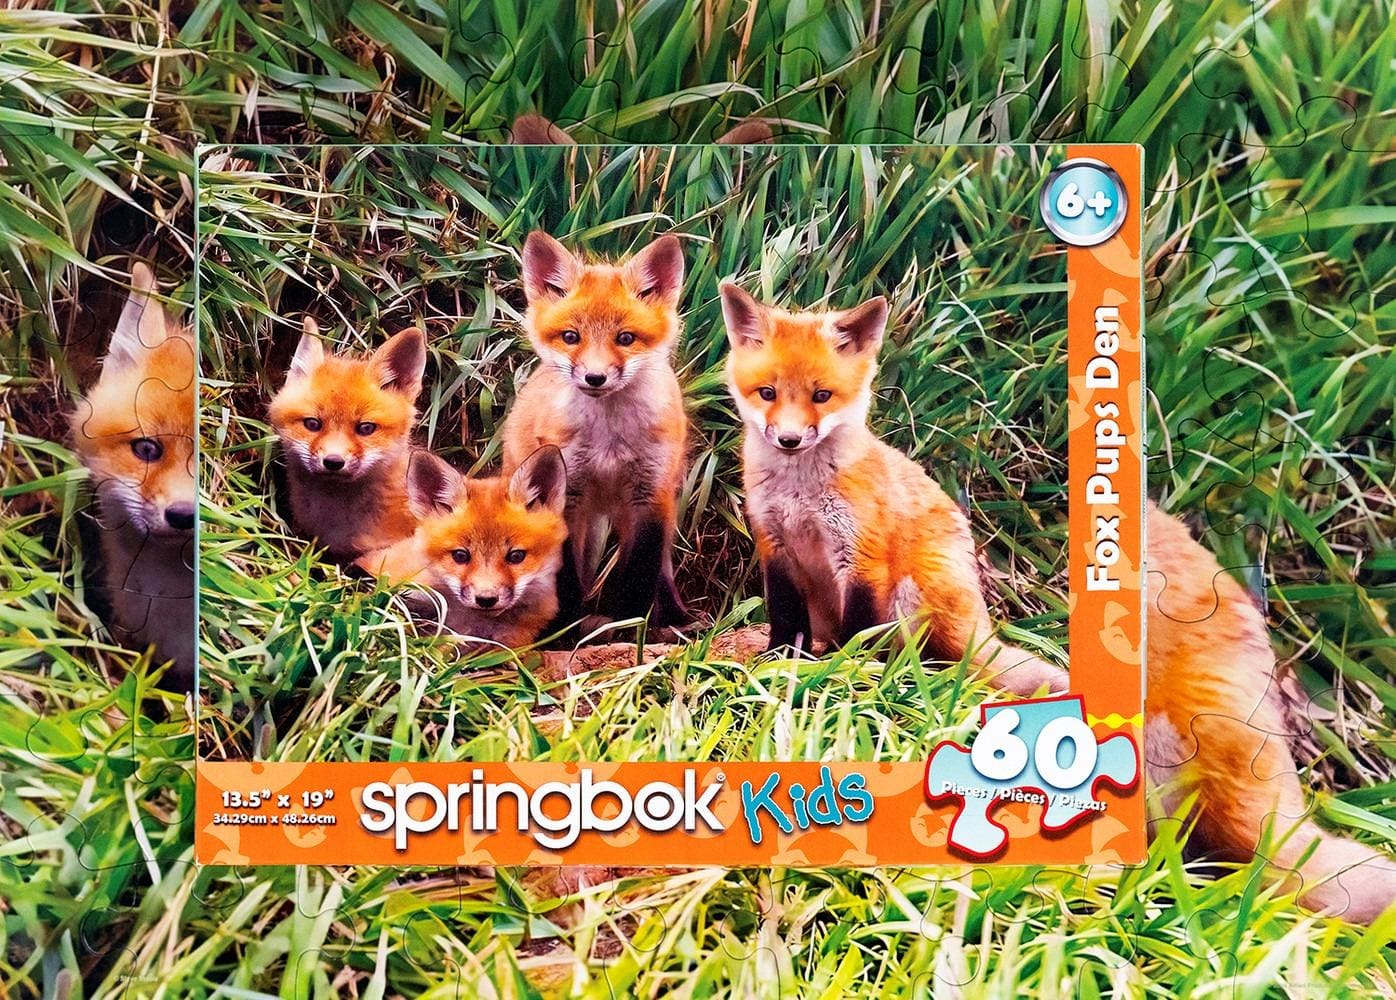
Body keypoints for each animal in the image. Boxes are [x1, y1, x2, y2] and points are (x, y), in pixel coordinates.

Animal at [501, 231, 689, 625]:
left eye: (626, 338)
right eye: (571, 337)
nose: (595, 377)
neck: (610, 439)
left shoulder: (650, 497)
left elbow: (639, 574)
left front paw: (633, 625)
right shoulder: (567, 496)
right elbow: (565, 577)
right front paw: (564, 627)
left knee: (663, 566)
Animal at [721, 282, 1396, 924]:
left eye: (822, 396)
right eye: (767, 392)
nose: (788, 439)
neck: (801, 495)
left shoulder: (862, 559)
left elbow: (859, 636)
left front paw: (849, 675)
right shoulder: (777, 551)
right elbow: (786, 627)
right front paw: (783, 663)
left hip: (930, 597)